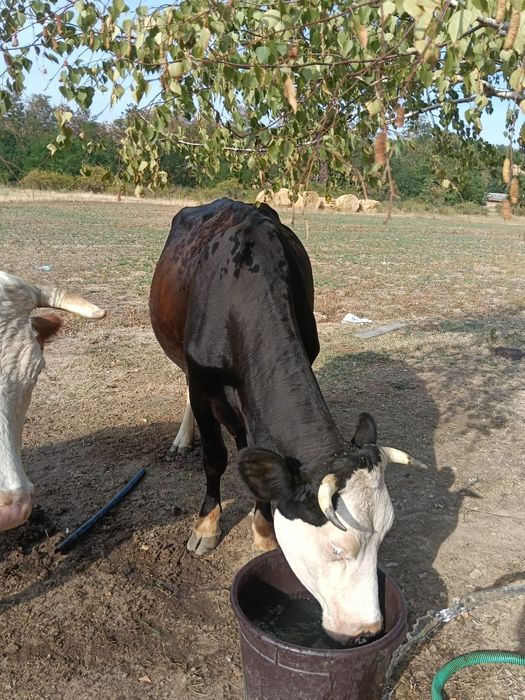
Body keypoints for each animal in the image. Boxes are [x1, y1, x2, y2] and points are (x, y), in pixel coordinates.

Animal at [149, 199, 418, 643]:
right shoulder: (203, 383)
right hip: (182, 360)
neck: (242, 291)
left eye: (384, 536)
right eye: (336, 549)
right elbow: (215, 458)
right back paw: (182, 440)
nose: (366, 631)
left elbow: (257, 461)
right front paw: (206, 526)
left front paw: (262, 530)